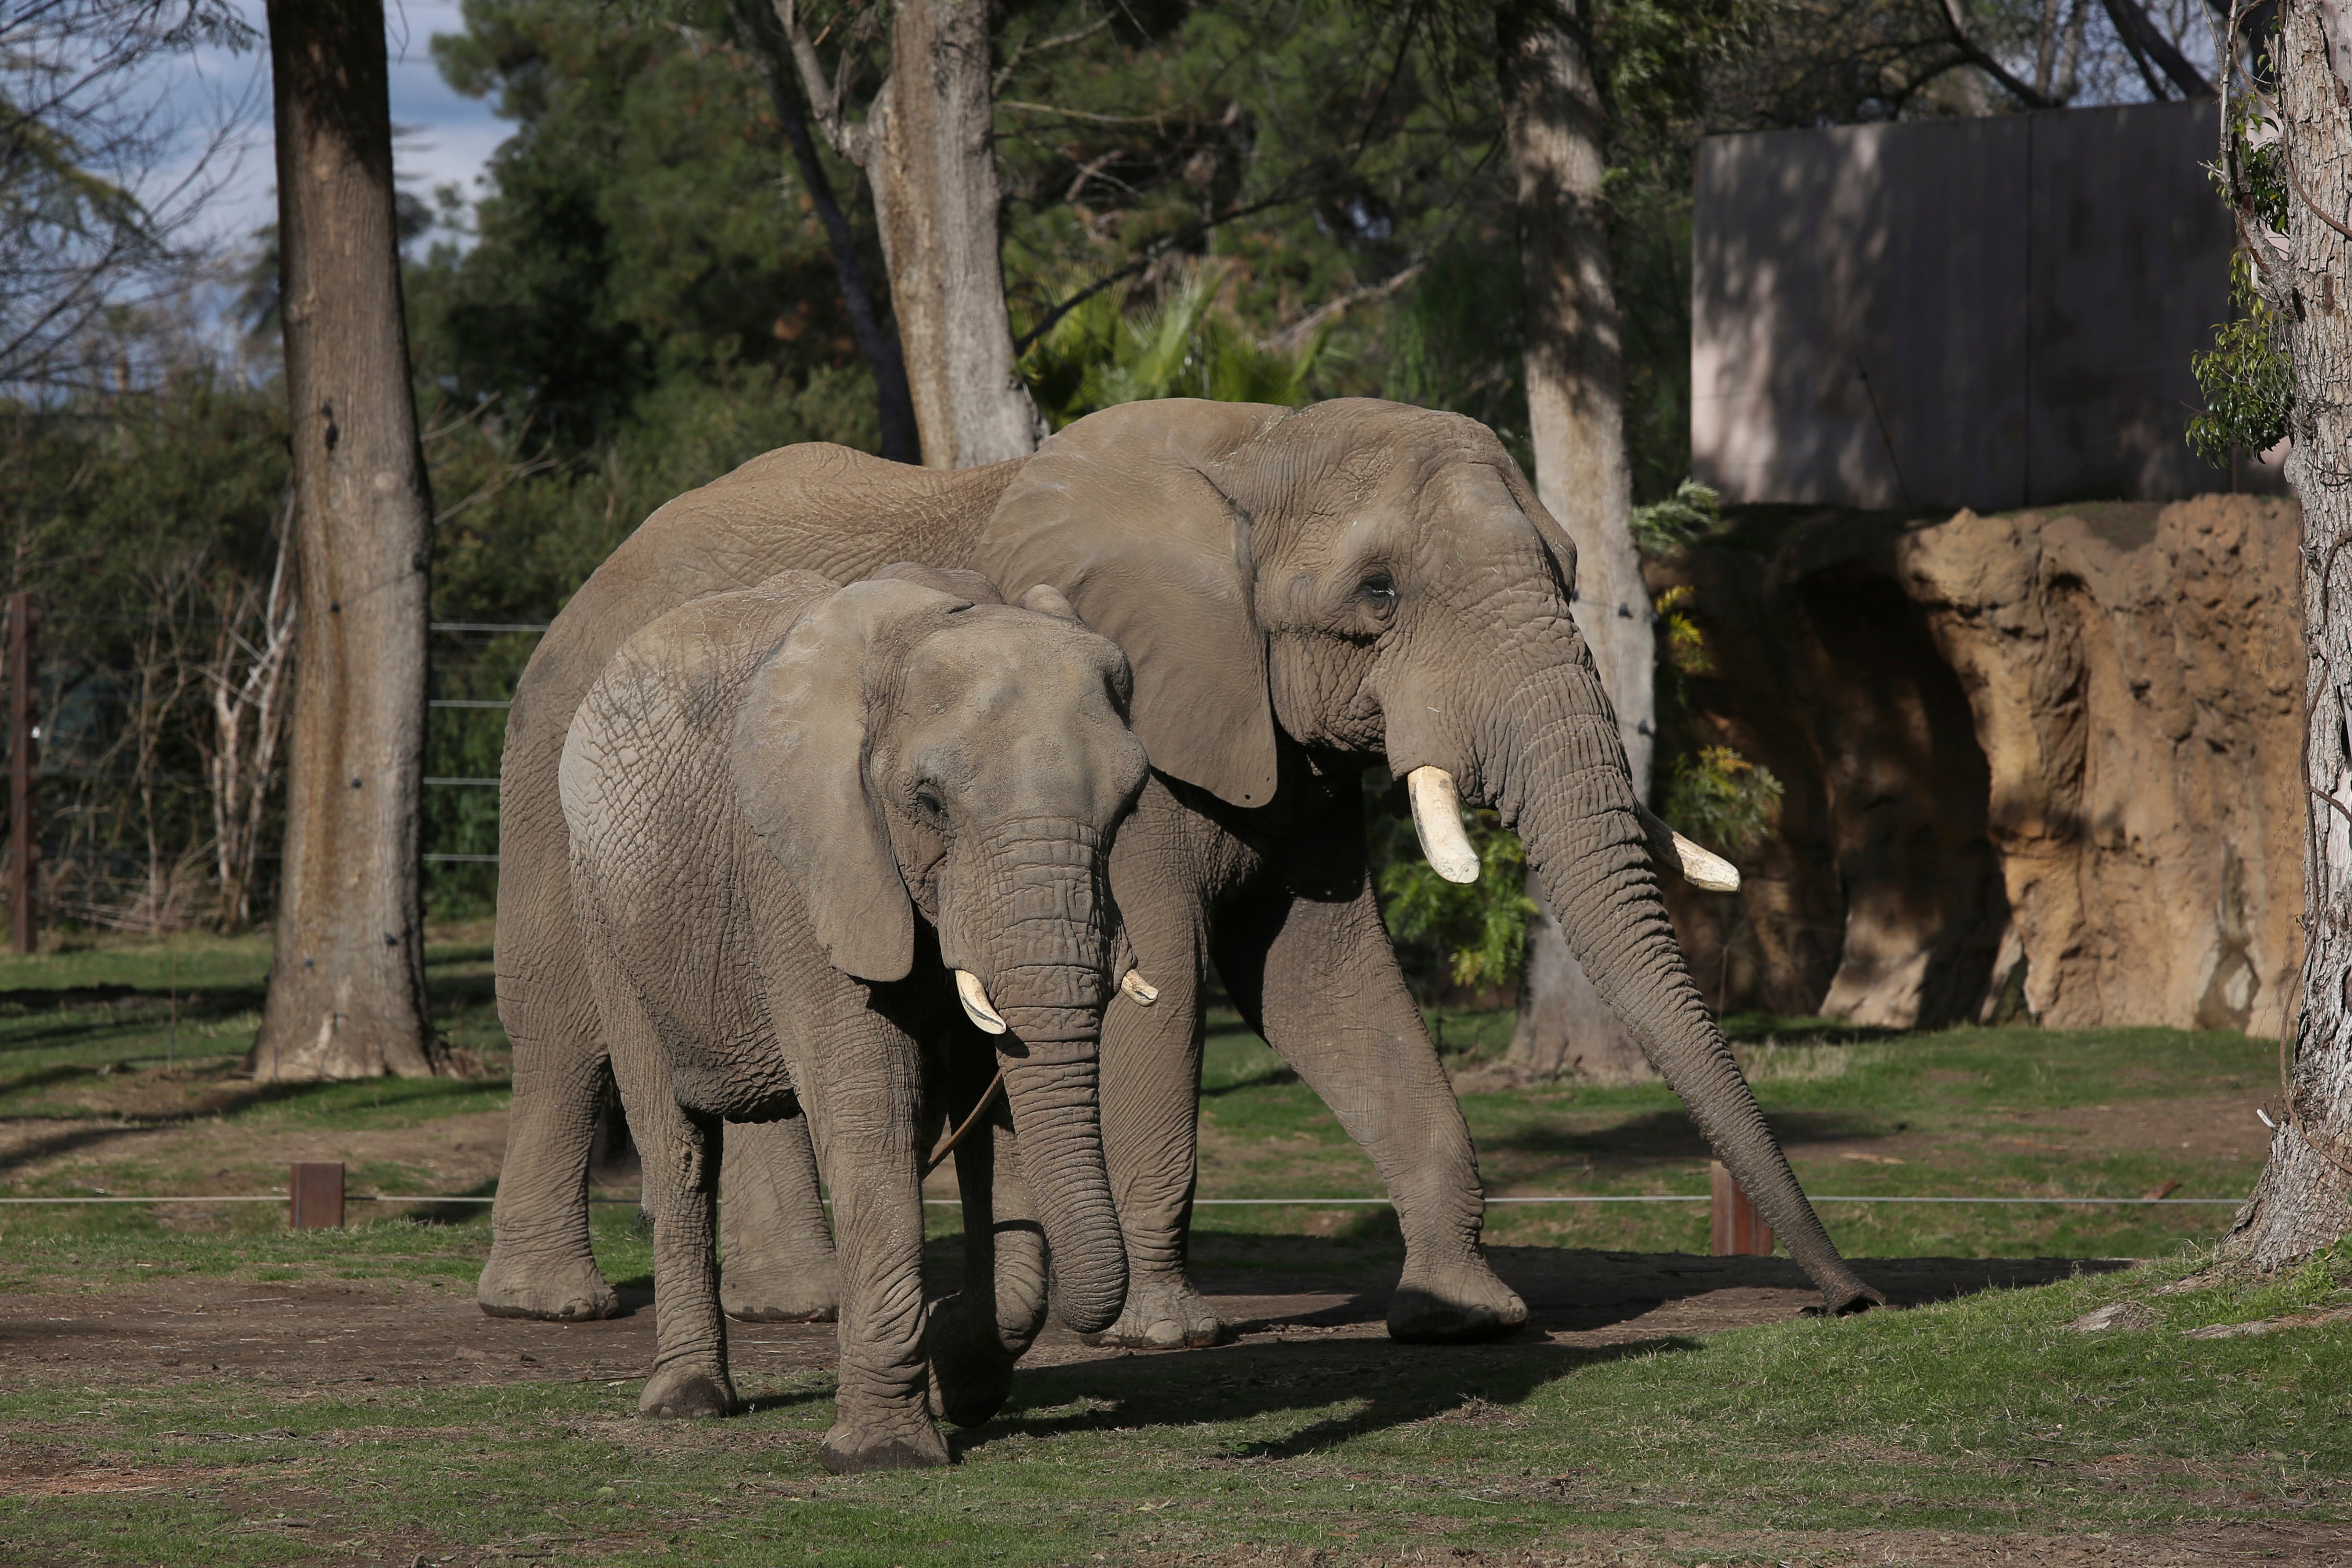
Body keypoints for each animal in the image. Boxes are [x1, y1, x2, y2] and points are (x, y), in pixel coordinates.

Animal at [478, 397, 1882, 1349]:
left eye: (1571, 573)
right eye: (1378, 596)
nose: (1847, 1298)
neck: (1253, 453)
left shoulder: (1283, 751)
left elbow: (1331, 984)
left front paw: (1465, 1313)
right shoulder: (1128, 742)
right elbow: (1156, 979)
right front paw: (1165, 1329)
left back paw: (800, 1303)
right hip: (553, 773)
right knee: (560, 1025)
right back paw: (556, 1306)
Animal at [557, 566, 1149, 1471]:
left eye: (1131, 805)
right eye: (929, 802)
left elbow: (997, 1119)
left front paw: (959, 1374)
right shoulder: (805, 861)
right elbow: (868, 1104)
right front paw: (883, 1455)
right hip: (605, 916)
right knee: (677, 1146)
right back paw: (687, 1403)